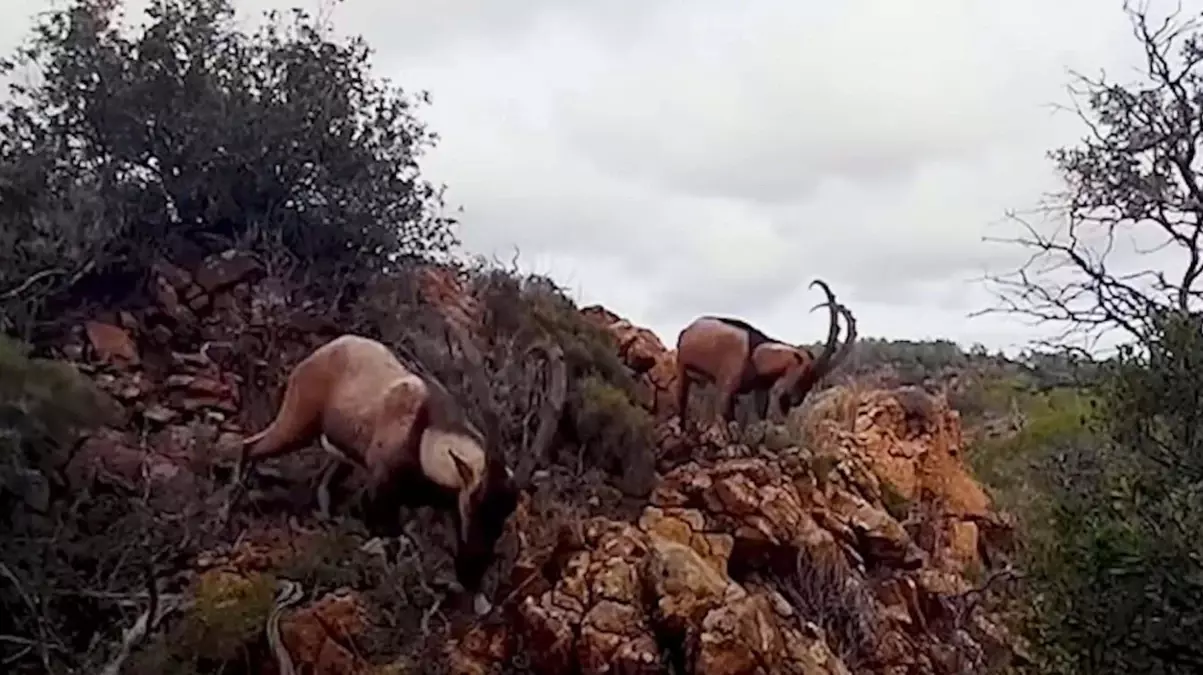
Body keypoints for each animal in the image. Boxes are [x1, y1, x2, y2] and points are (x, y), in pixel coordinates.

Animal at [240, 332, 572, 616]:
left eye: (505, 514)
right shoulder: (381, 492)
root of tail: (321, 353)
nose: (472, 571)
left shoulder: (444, 505)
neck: (424, 434)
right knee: (249, 447)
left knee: (322, 483)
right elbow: (386, 540)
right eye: (475, 504)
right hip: (296, 422)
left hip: (339, 454)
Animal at [673, 277, 861, 425]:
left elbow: (761, 417)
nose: (793, 401)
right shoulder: (727, 388)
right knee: (681, 403)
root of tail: (686, 330)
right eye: (804, 373)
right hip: (682, 369)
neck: (755, 354)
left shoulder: (761, 391)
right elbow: (728, 418)